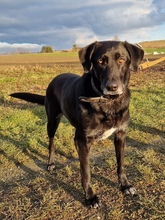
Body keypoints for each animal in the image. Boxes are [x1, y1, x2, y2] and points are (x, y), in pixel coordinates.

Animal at [10, 41, 144, 208]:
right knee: (51, 143)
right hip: (52, 121)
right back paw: (51, 163)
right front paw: (90, 196)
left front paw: (125, 186)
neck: (108, 103)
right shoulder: (84, 139)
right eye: (100, 61)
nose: (112, 87)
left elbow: (121, 164)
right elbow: (85, 171)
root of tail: (55, 78)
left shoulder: (120, 135)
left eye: (121, 59)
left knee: (74, 140)